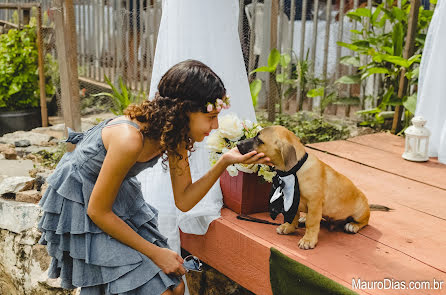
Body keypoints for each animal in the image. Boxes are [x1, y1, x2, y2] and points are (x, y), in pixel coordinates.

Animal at [239, 126, 372, 251]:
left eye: (259, 140)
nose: (238, 144)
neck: (295, 170)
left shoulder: (314, 203)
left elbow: (312, 223)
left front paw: (308, 240)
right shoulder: (293, 201)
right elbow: (293, 216)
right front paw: (289, 227)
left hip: (360, 212)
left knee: (364, 221)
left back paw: (353, 225)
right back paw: (304, 218)